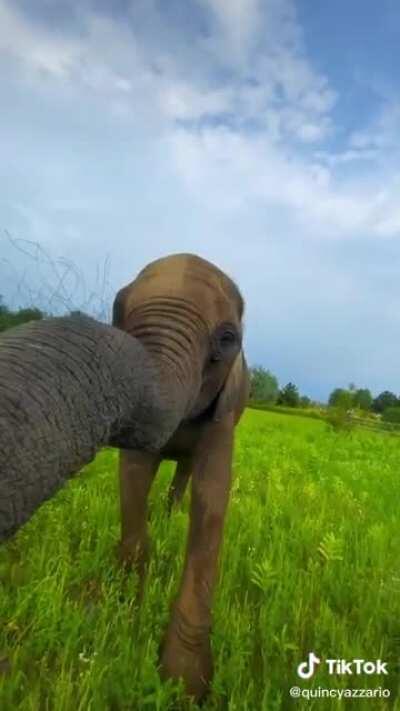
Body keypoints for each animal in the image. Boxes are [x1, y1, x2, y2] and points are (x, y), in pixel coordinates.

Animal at [0, 252, 249, 702]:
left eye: (227, 339)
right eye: (118, 309)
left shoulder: (226, 410)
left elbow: (211, 499)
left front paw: (183, 685)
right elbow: (134, 471)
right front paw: (125, 605)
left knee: (186, 472)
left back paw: (171, 514)